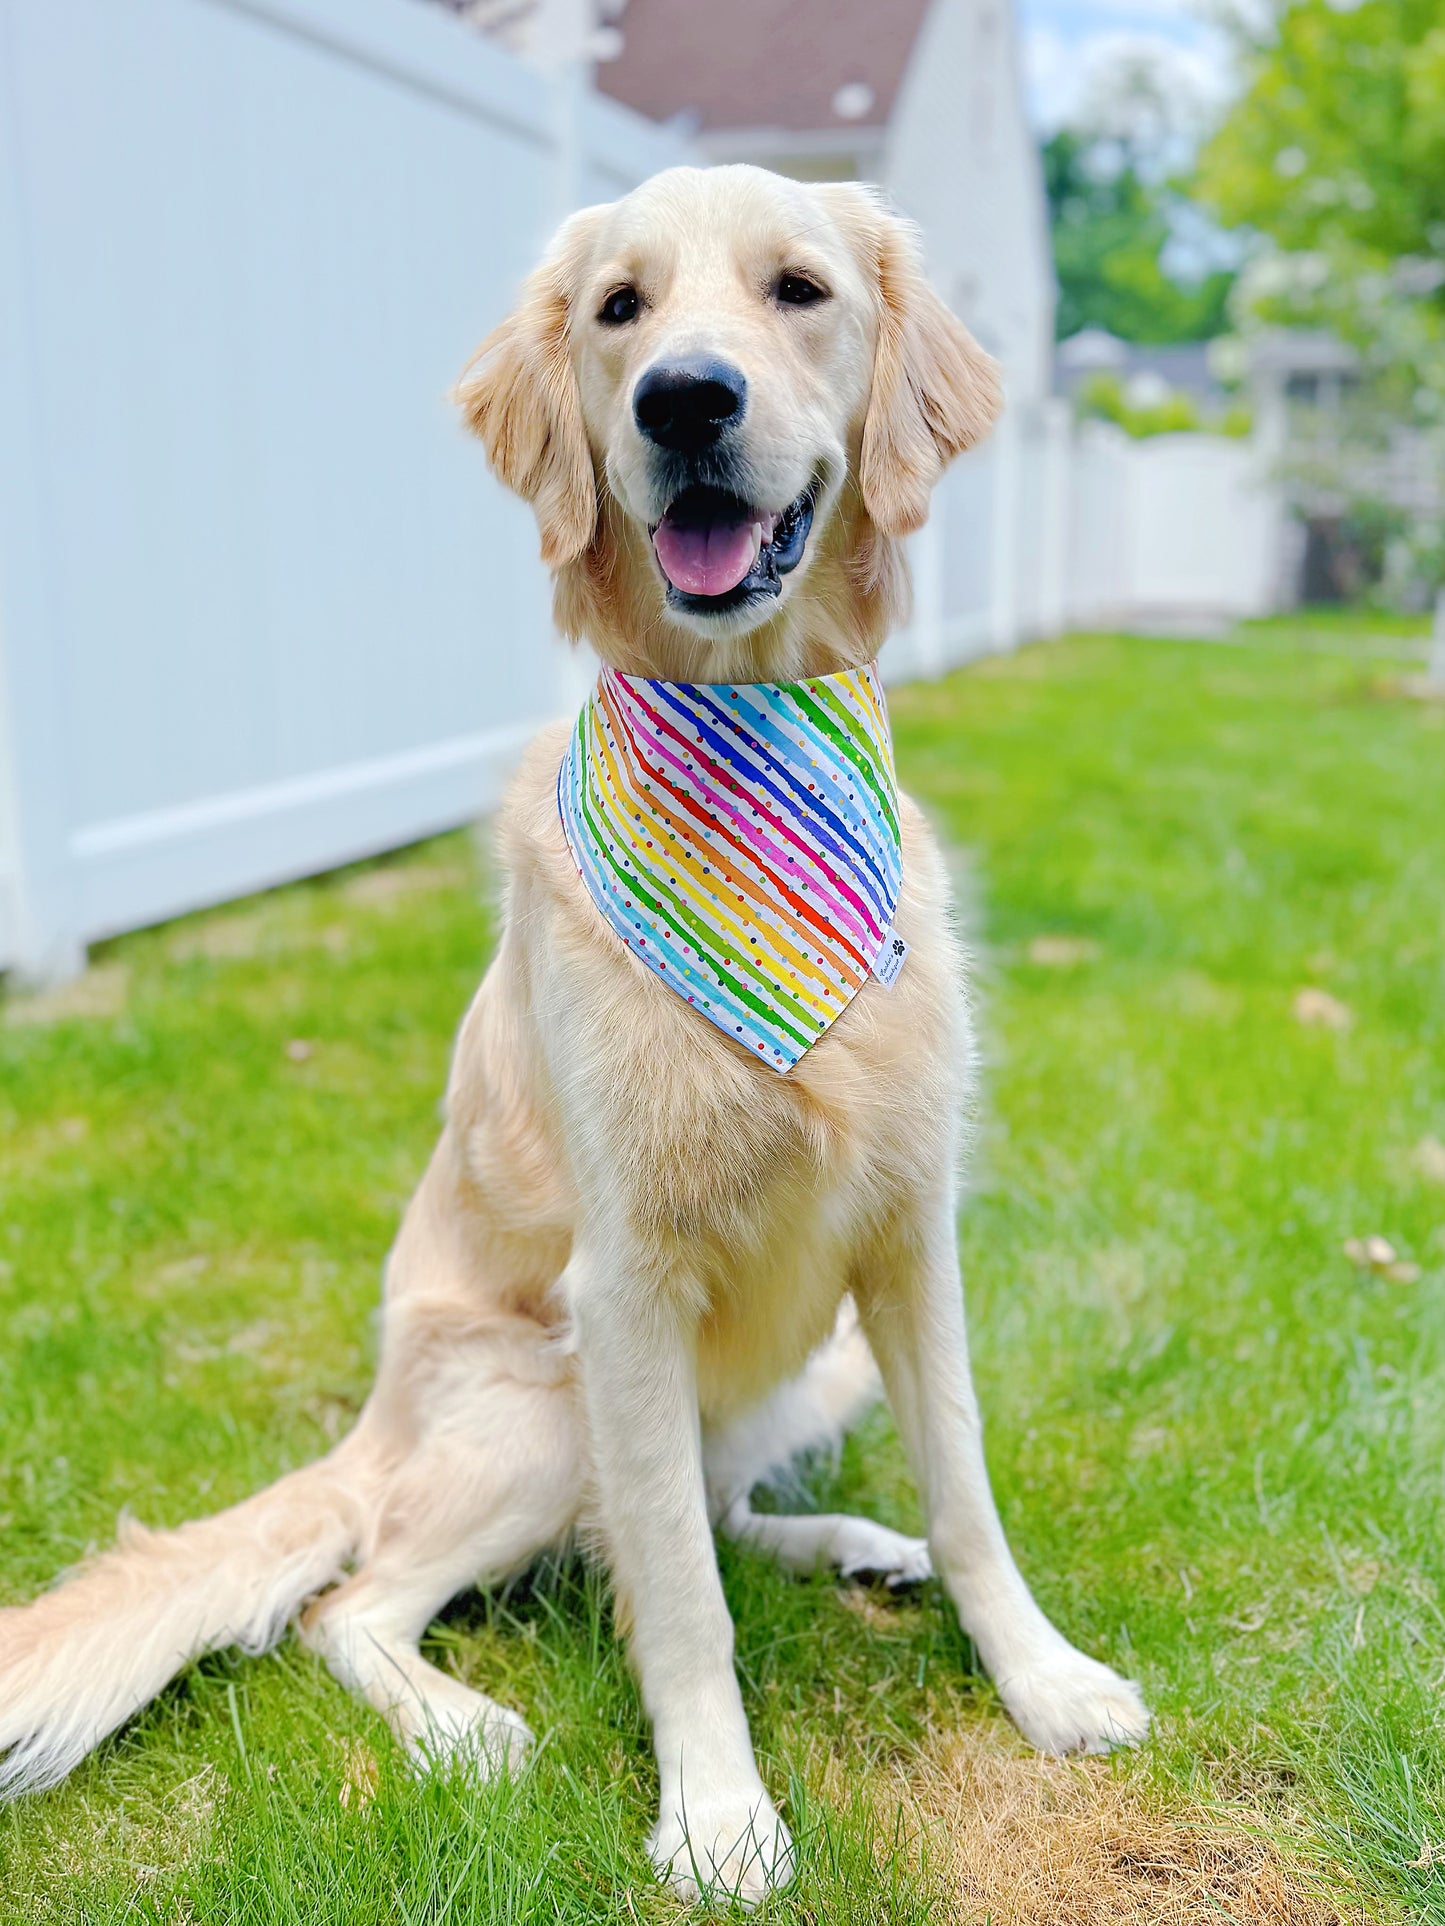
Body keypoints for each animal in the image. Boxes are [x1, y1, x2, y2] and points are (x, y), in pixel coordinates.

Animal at [0, 169, 1156, 1910]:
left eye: (799, 289)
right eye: (621, 309)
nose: (686, 398)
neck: (747, 726)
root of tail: (370, 1432)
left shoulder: (908, 1236)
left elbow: (960, 1492)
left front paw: (1040, 1676)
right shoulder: (624, 1287)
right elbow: (676, 1597)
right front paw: (719, 1812)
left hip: (812, 1366)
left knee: (705, 1506)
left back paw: (849, 1546)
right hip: (540, 1405)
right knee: (372, 1595)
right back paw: (462, 1722)